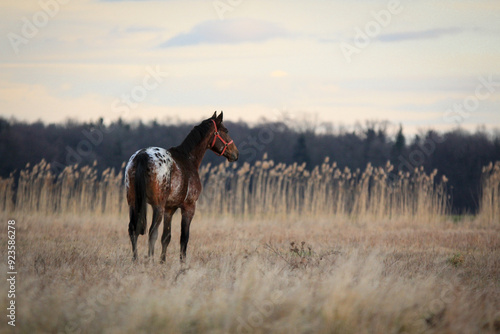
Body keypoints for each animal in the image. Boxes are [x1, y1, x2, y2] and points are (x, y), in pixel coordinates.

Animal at [124, 112, 238, 260]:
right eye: (226, 131)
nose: (236, 153)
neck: (188, 158)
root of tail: (143, 155)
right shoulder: (188, 208)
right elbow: (184, 238)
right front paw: (182, 262)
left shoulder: (169, 209)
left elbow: (166, 237)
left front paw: (163, 261)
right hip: (157, 206)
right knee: (152, 233)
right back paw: (150, 261)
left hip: (133, 203)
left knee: (133, 230)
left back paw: (135, 260)